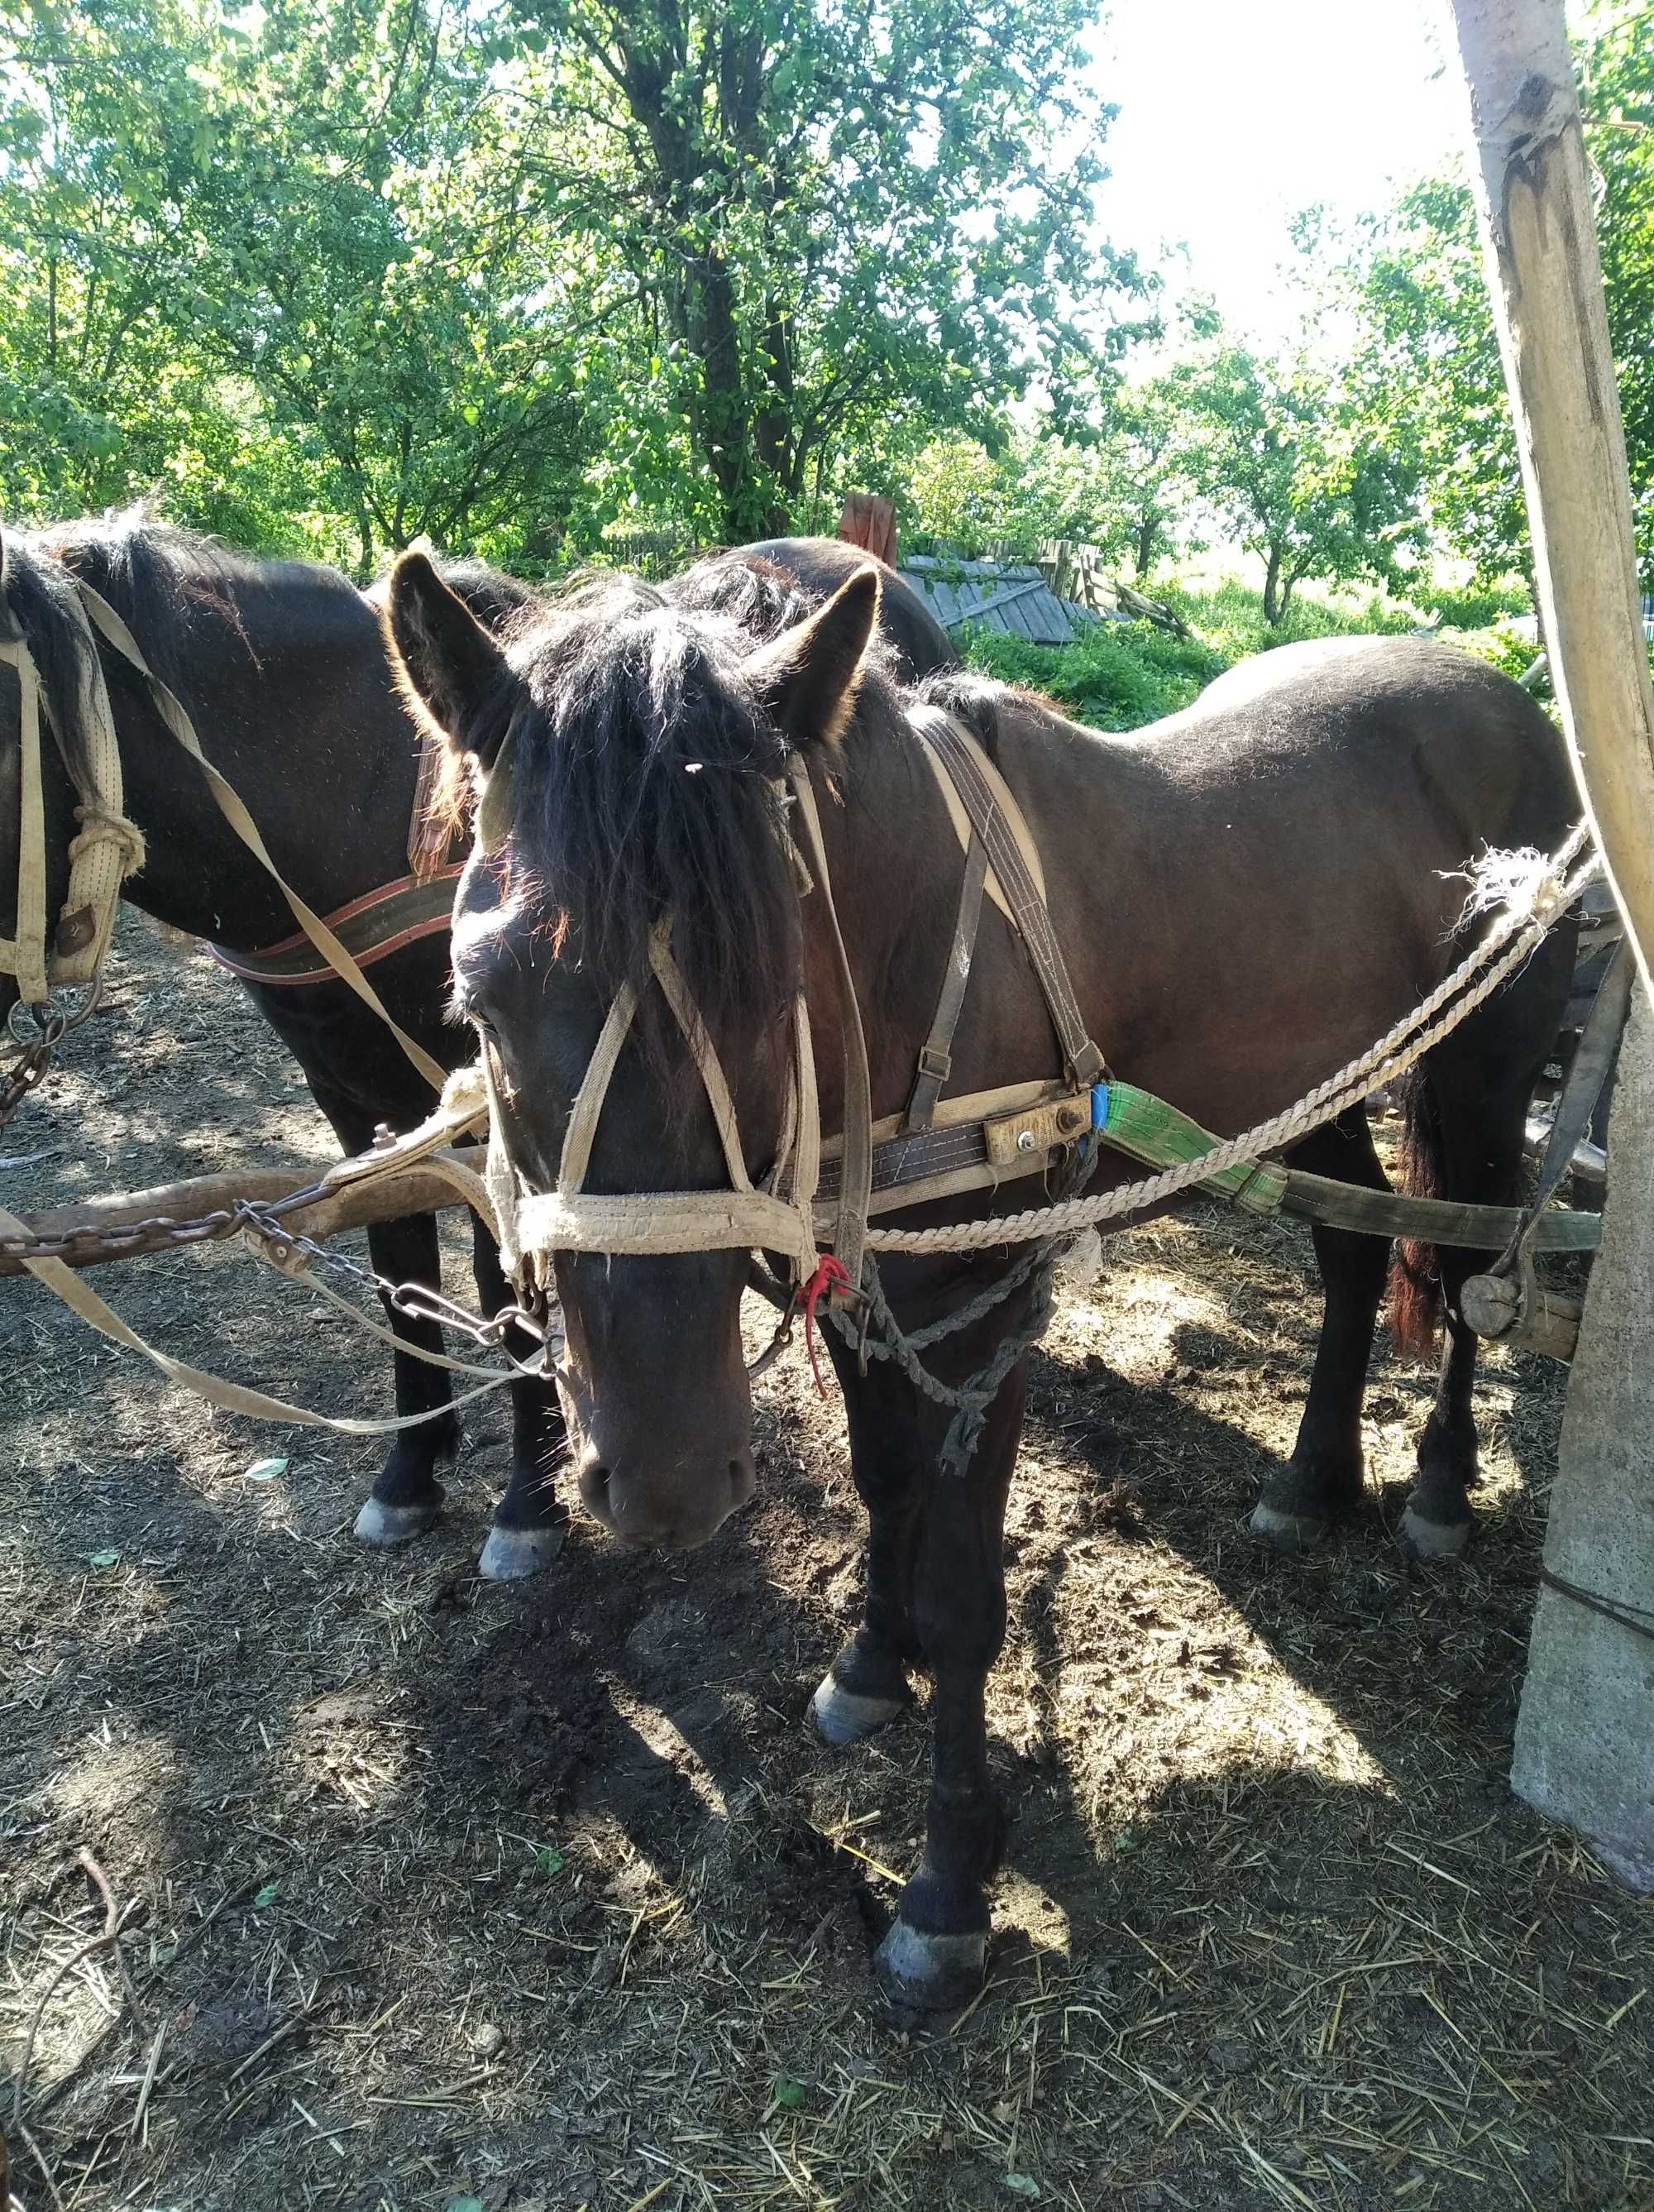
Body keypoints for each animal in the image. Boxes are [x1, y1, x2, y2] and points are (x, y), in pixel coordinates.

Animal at [391, 553, 1574, 2008]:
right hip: (1315, 1088)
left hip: (1481, 1068)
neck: (914, 971)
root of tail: (1501, 696)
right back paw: (1312, 1478)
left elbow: (965, 1587)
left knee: (1469, 1272)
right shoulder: (876, 1280)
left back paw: (1443, 1485)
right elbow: (884, 1477)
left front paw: (947, 1882)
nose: (665, 1486)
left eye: (772, 977)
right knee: (1357, 1255)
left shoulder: (987, 1307)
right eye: (477, 996)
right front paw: (867, 1661)